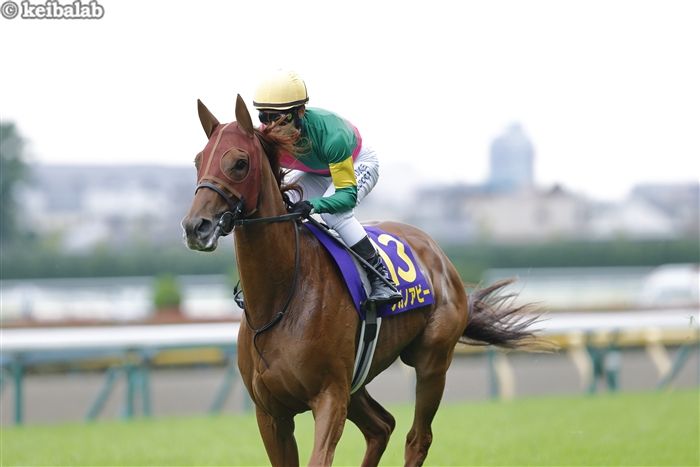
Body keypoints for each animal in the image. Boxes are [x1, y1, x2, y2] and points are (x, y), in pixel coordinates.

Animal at [182, 95, 545, 466]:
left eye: (239, 163)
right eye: (198, 160)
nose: (196, 227)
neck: (279, 300)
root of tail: (437, 254)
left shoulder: (330, 396)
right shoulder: (271, 413)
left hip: (431, 361)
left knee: (418, 437)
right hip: (357, 382)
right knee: (382, 426)